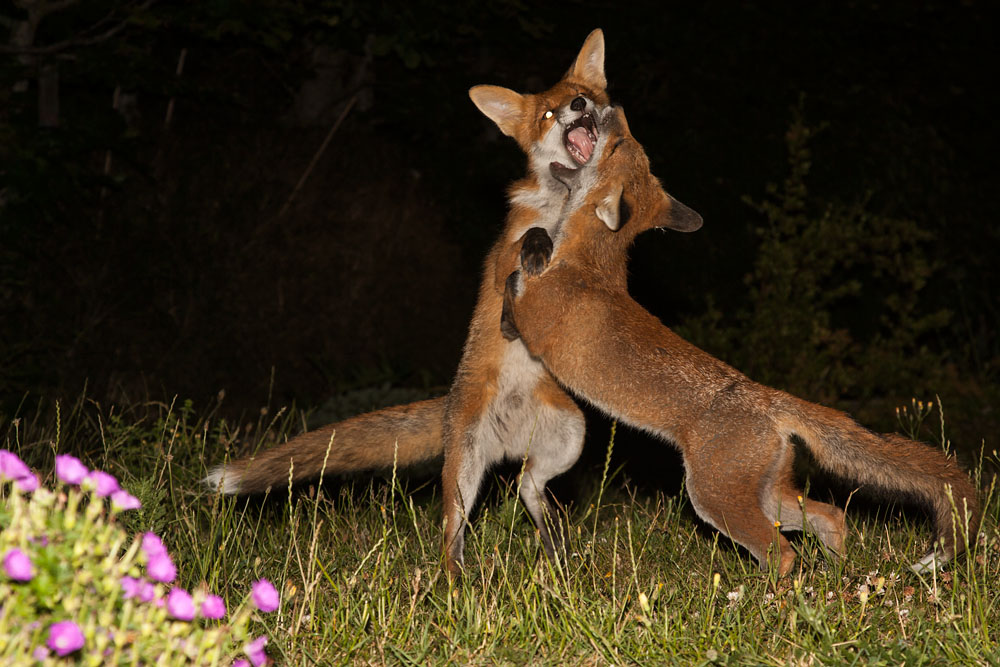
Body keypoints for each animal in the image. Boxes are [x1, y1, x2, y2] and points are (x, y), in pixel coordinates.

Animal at [206, 30, 612, 575]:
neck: (564, 204)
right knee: (452, 537)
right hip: (463, 474)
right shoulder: (505, 271)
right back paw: (458, 587)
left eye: (582, 96)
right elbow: (526, 249)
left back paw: (552, 552)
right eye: (548, 113)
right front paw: (537, 249)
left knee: (528, 486)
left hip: (569, 433)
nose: (578, 106)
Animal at [499, 105, 981, 576]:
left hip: (714, 498)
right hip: (768, 494)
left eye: (619, 144)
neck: (588, 260)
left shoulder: (535, 320)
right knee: (830, 516)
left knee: (782, 552)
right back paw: (840, 578)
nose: (609, 108)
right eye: (633, 148)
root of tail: (769, 397)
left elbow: (511, 284)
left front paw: (520, 277)